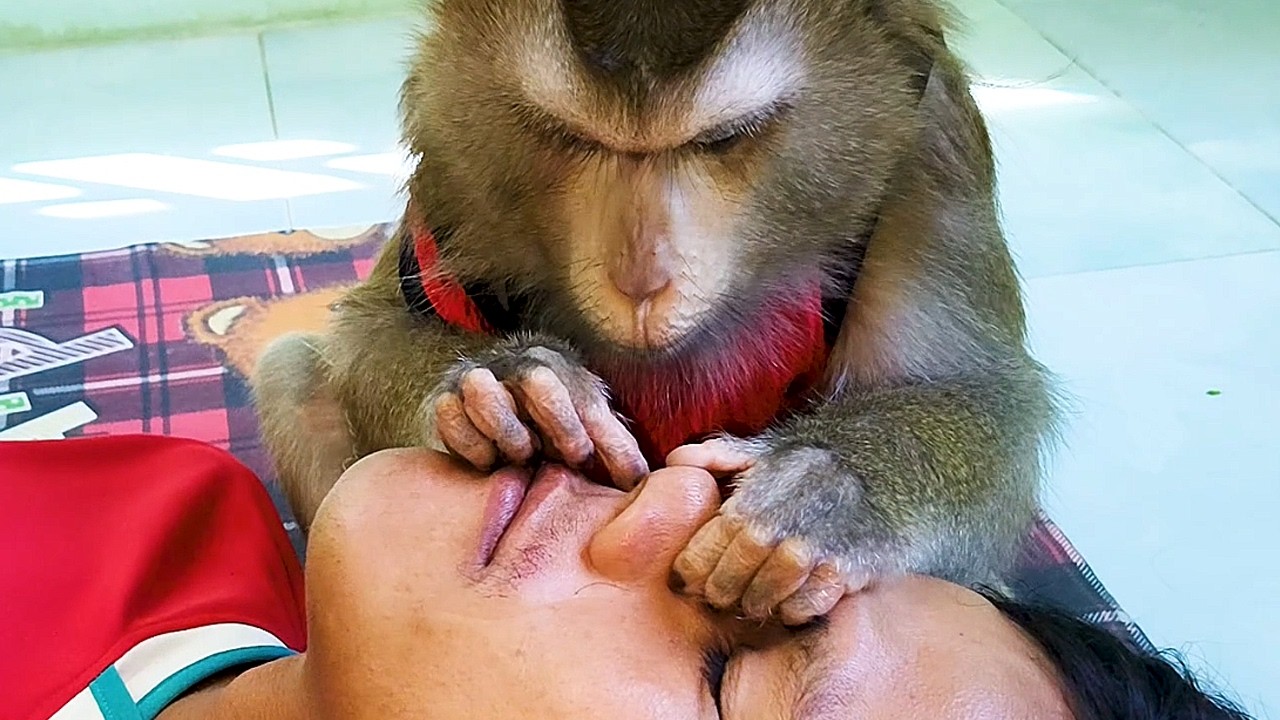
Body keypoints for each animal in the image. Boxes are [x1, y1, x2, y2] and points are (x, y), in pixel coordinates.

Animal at [252, 0, 1060, 625]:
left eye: (723, 139)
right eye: (569, 136)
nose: (641, 281)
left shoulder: (936, 149)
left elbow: (980, 395)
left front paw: (826, 492)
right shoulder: (450, 154)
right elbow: (378, 324)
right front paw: (508, 384)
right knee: (292, 373)